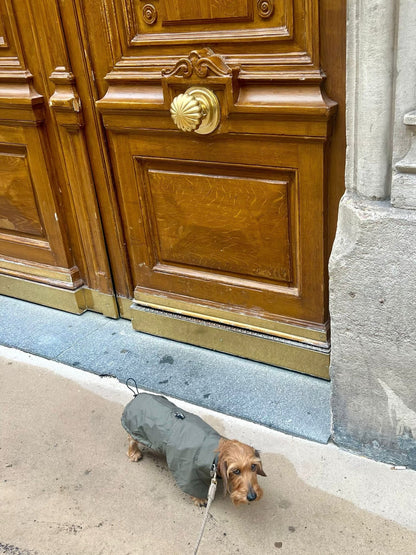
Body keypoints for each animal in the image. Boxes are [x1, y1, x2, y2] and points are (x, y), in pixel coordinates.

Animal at [121, 394, 266, 506]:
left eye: (253, 466)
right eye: (236, 471)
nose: (252, 497)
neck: (215, 454)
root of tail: (137, 395)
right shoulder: (188, 472)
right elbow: (194, 487)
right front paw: (200, 499)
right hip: (136, 430)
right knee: (131, 439)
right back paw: (134, 453)